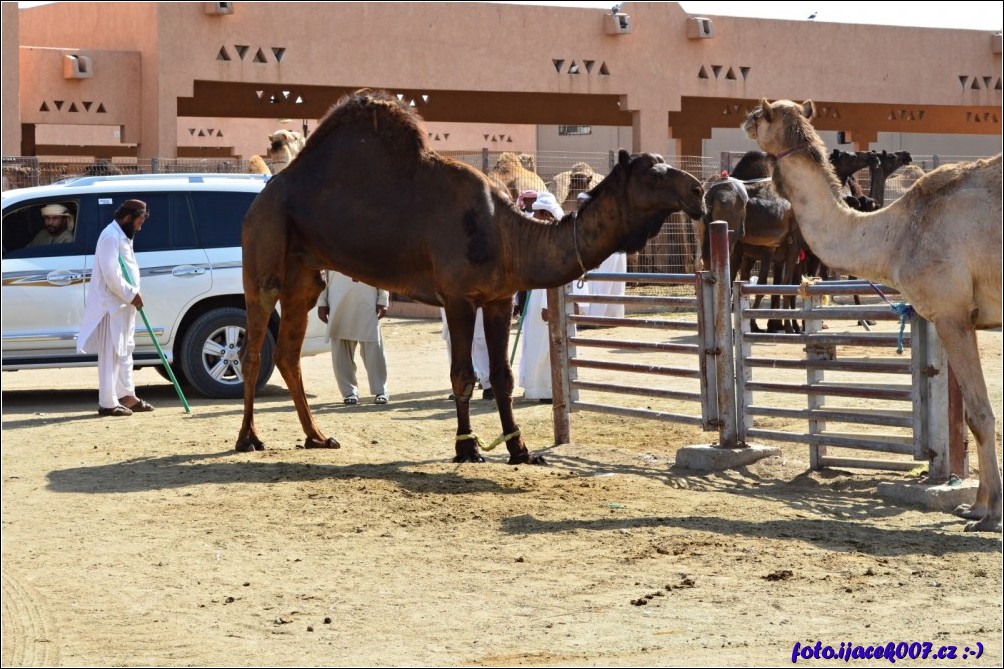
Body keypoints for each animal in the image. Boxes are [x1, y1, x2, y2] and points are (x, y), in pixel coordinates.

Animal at [234, 91, 706, 462]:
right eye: (652, 173)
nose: (698, 191)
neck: (506, 232)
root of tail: (265, 193)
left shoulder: (498, 298)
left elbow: (502, 376)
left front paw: (519, 449)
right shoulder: (458, 297)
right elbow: (462, 373)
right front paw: (467, 447)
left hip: (303, 273)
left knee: (289, 352)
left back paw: (317, 437)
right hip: (264, 247)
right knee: (253, 348)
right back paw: (248, 439)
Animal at [746, 97, 1003, 530]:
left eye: (762, 115)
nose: (745, 119)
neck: (893, 234)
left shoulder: (950, 313)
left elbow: (981, 415)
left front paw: (990, 514)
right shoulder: (960, 316)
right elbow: (971, 414)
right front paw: (975, 506)